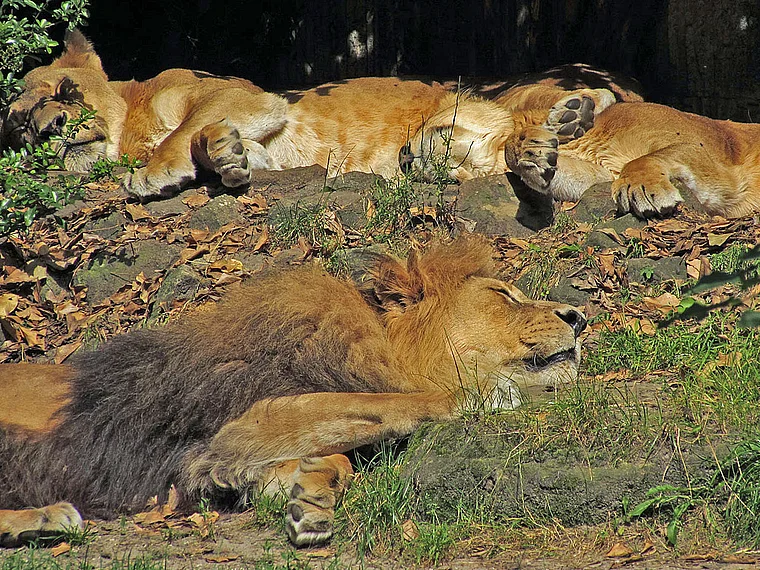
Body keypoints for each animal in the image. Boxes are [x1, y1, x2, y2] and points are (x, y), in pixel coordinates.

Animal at [0, 237, 586, 547]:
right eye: (504, 295)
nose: (580, 316)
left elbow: (334, 454)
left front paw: (309, 500)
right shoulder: (247, 417)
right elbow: (388, 404)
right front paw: (490, 396)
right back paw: (47, 518)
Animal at [1, 30, 616, 201]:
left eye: (64, 89)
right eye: (18, 126)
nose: (49, 128)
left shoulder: (245, 96)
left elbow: (183, 129)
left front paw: (152, 172)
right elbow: (209, 141)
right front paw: (225, 156)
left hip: (455, 113)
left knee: (511, 130)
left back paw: (567, 117)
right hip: (444, 149)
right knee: (496, 156)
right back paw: (546, 146)